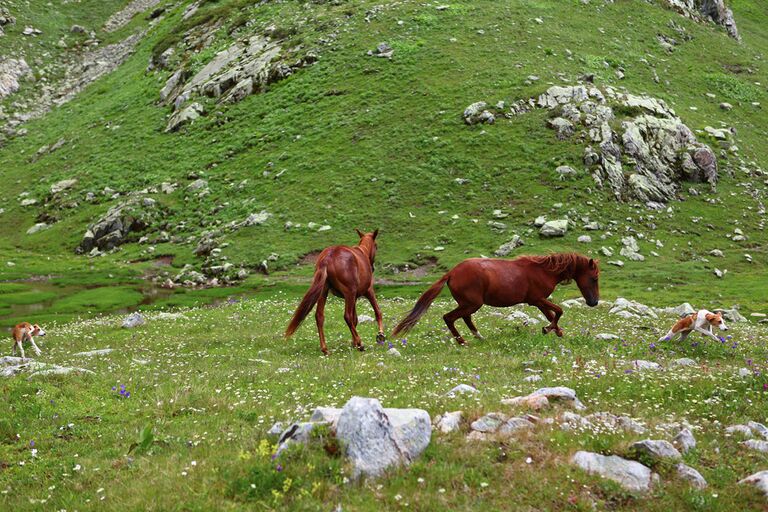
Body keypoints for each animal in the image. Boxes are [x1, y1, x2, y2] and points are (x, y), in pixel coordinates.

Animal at [390, 253, 600, 344]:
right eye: (594, 278)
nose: (594, 302)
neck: (543, 270)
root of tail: (451, 273)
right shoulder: (537, 299)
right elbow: (559, 311)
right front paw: (548, 329)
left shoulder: (539, 302)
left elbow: (552, 315)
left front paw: (556, 332)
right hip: (472, 304)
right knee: (449, 318)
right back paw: (463, 341)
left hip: (468, 304)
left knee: (464, 318)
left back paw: (479, 337)